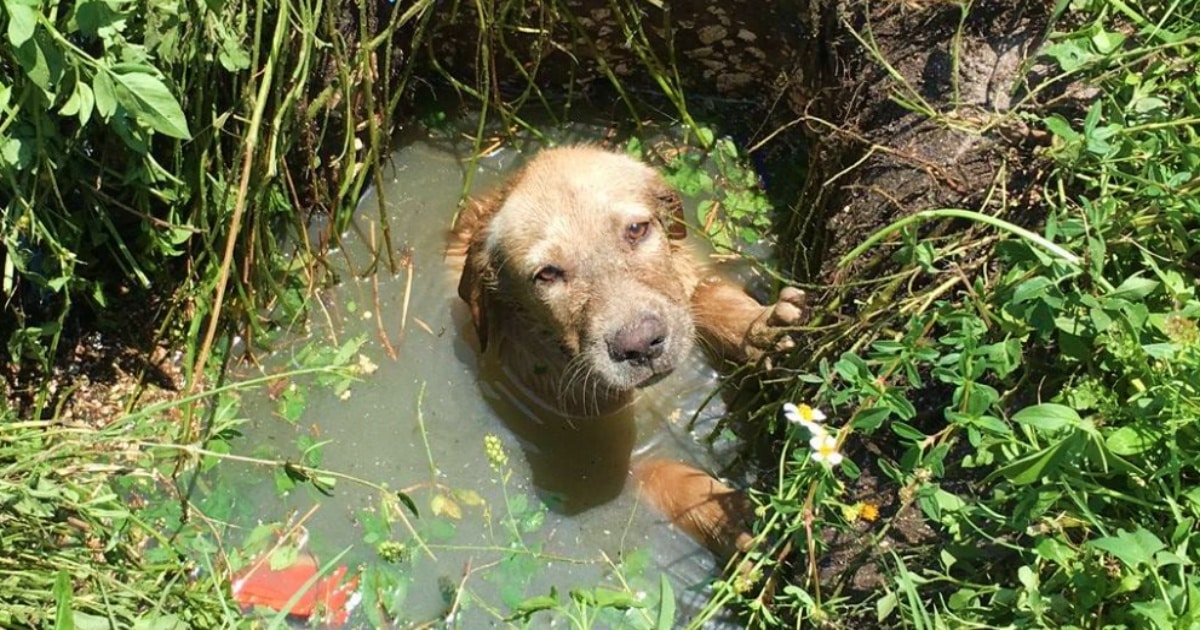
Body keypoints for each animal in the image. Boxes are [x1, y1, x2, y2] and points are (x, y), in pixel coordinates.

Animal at [451, 145, 806, 556]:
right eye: (547, 274)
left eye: (636, 230)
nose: (640, 346)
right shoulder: (595, 449)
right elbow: (658, 471)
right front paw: (724, 514)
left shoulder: (689, 275)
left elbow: (709, 296)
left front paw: (761, 330)